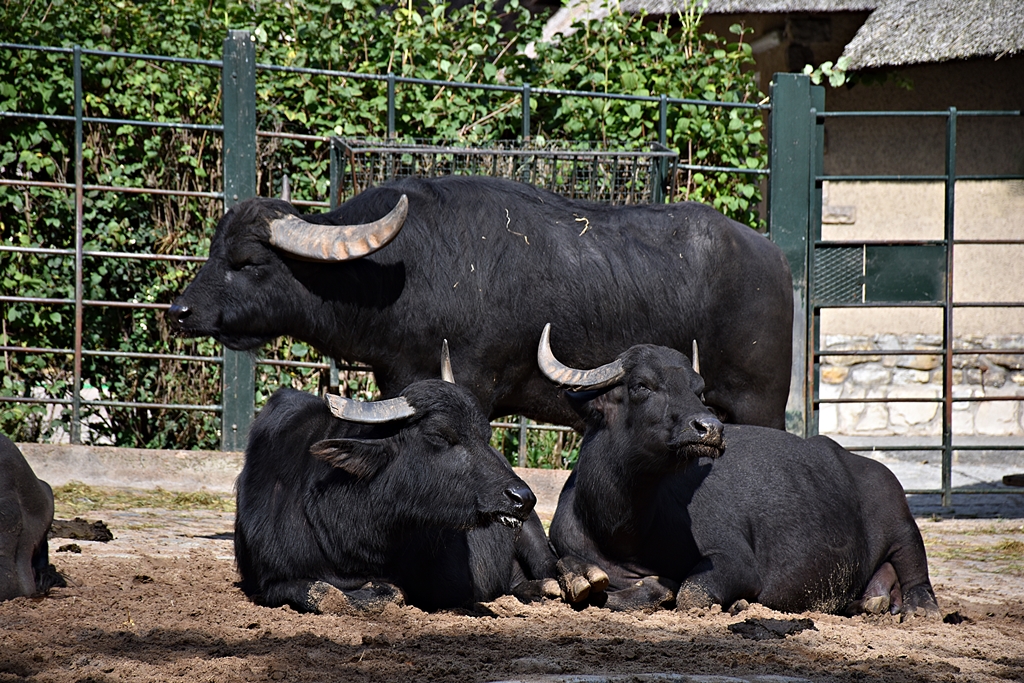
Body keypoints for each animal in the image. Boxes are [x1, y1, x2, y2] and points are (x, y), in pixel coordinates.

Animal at [169, 175, 793, 429]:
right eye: (214, 251)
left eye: (247, 262)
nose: (179, 312)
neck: (404, 272)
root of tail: (773, 258)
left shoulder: (468, 382)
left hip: (759, 404)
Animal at [540, 325, 940, 617]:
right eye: (641, 385)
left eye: (698, 390)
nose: (710, 428)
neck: (622, 530)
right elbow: (568, 571)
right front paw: (582, 580)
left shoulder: (735, 561)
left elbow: (690, 594)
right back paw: (871, 601)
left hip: (901, 520)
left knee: (915, 567)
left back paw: (921, 608)